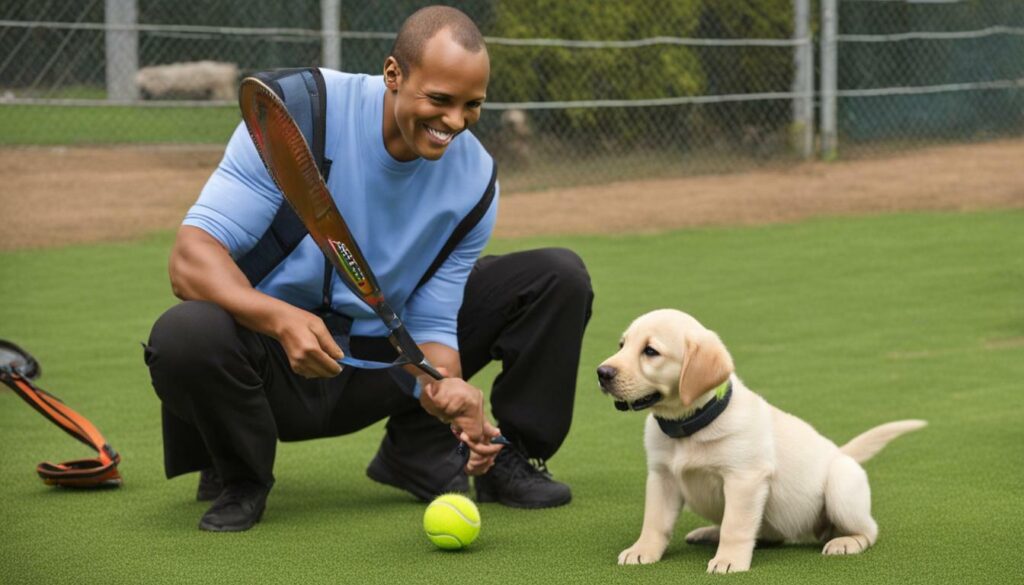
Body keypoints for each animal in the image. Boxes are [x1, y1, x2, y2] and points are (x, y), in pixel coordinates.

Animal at [598, 309, 929, 573]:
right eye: (622, 345)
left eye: (651, 351)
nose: (601, 372)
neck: (688, 427)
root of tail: (840, 452)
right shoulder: (662, 477)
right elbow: (654, 522)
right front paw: (643, 550)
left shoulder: (744, 479)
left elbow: (736, 526)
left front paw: (729, 561)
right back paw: (709, 532)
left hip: (841, 486)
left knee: (869, 530)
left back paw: (845, 542)